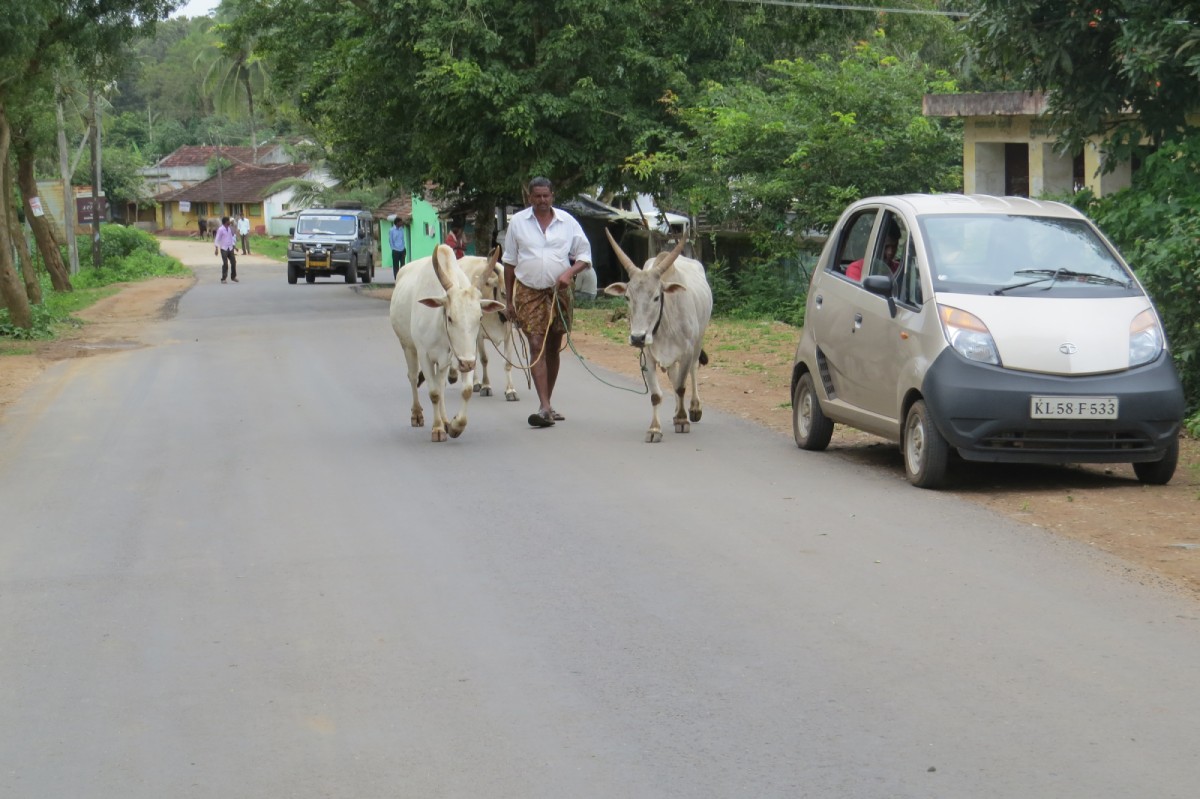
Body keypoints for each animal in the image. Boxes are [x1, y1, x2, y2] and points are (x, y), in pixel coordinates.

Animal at [388, 244, 501, 441]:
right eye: (450, 317)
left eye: (480, 317)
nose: (466, 364)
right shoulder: (424, 355)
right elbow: (433, 393)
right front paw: (438, 429)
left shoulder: (466, 353)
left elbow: (465, 390)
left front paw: (455, 426)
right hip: (407, 346)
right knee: (413, 377)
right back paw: (417, 414)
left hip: (443, 361)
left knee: (440, 384)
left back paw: (446, 420)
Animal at [456, 247, 518, 400]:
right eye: (503, 293)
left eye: (516, 294)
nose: (514, 318)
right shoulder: (479, 335)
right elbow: (484, 359)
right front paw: (486, 386)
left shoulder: (509, 335)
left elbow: (507, 363)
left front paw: (510, 390)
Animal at [604, 230, 705, 441]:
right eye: (627, 297)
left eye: (657, 297)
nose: (637, 338)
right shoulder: (648, 356)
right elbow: (656, 395)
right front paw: (654, 429)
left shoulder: (686, 352)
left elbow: (681, 387)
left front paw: (682, 420)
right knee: (674, 377)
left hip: (698, 342)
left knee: (692, 371)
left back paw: (693, 409)